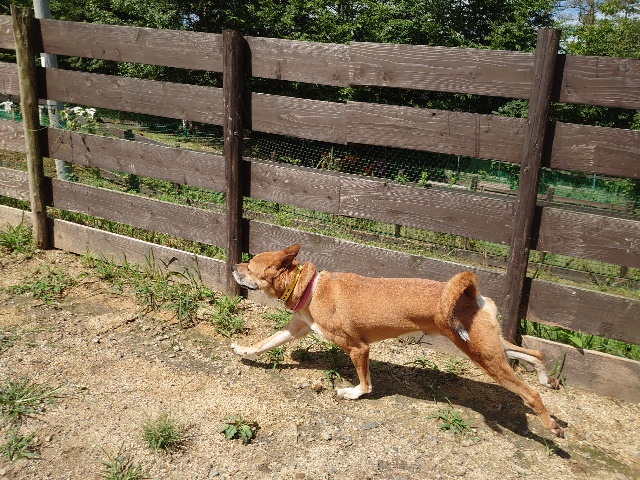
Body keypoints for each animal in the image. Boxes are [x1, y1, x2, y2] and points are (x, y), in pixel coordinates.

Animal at [231, 244, 564, 437]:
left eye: (250, 265)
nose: (233, 265)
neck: (310, 287)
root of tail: (469, 293)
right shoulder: (297, 328)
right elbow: (265, 343)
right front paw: (243, 349)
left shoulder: (358, 348)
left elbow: (365, 383)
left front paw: (352, 393)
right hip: (488, 345)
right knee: (534, 353)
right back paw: (546, 378)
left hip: (484, 355)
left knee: (530, 394)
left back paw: (552, 426)